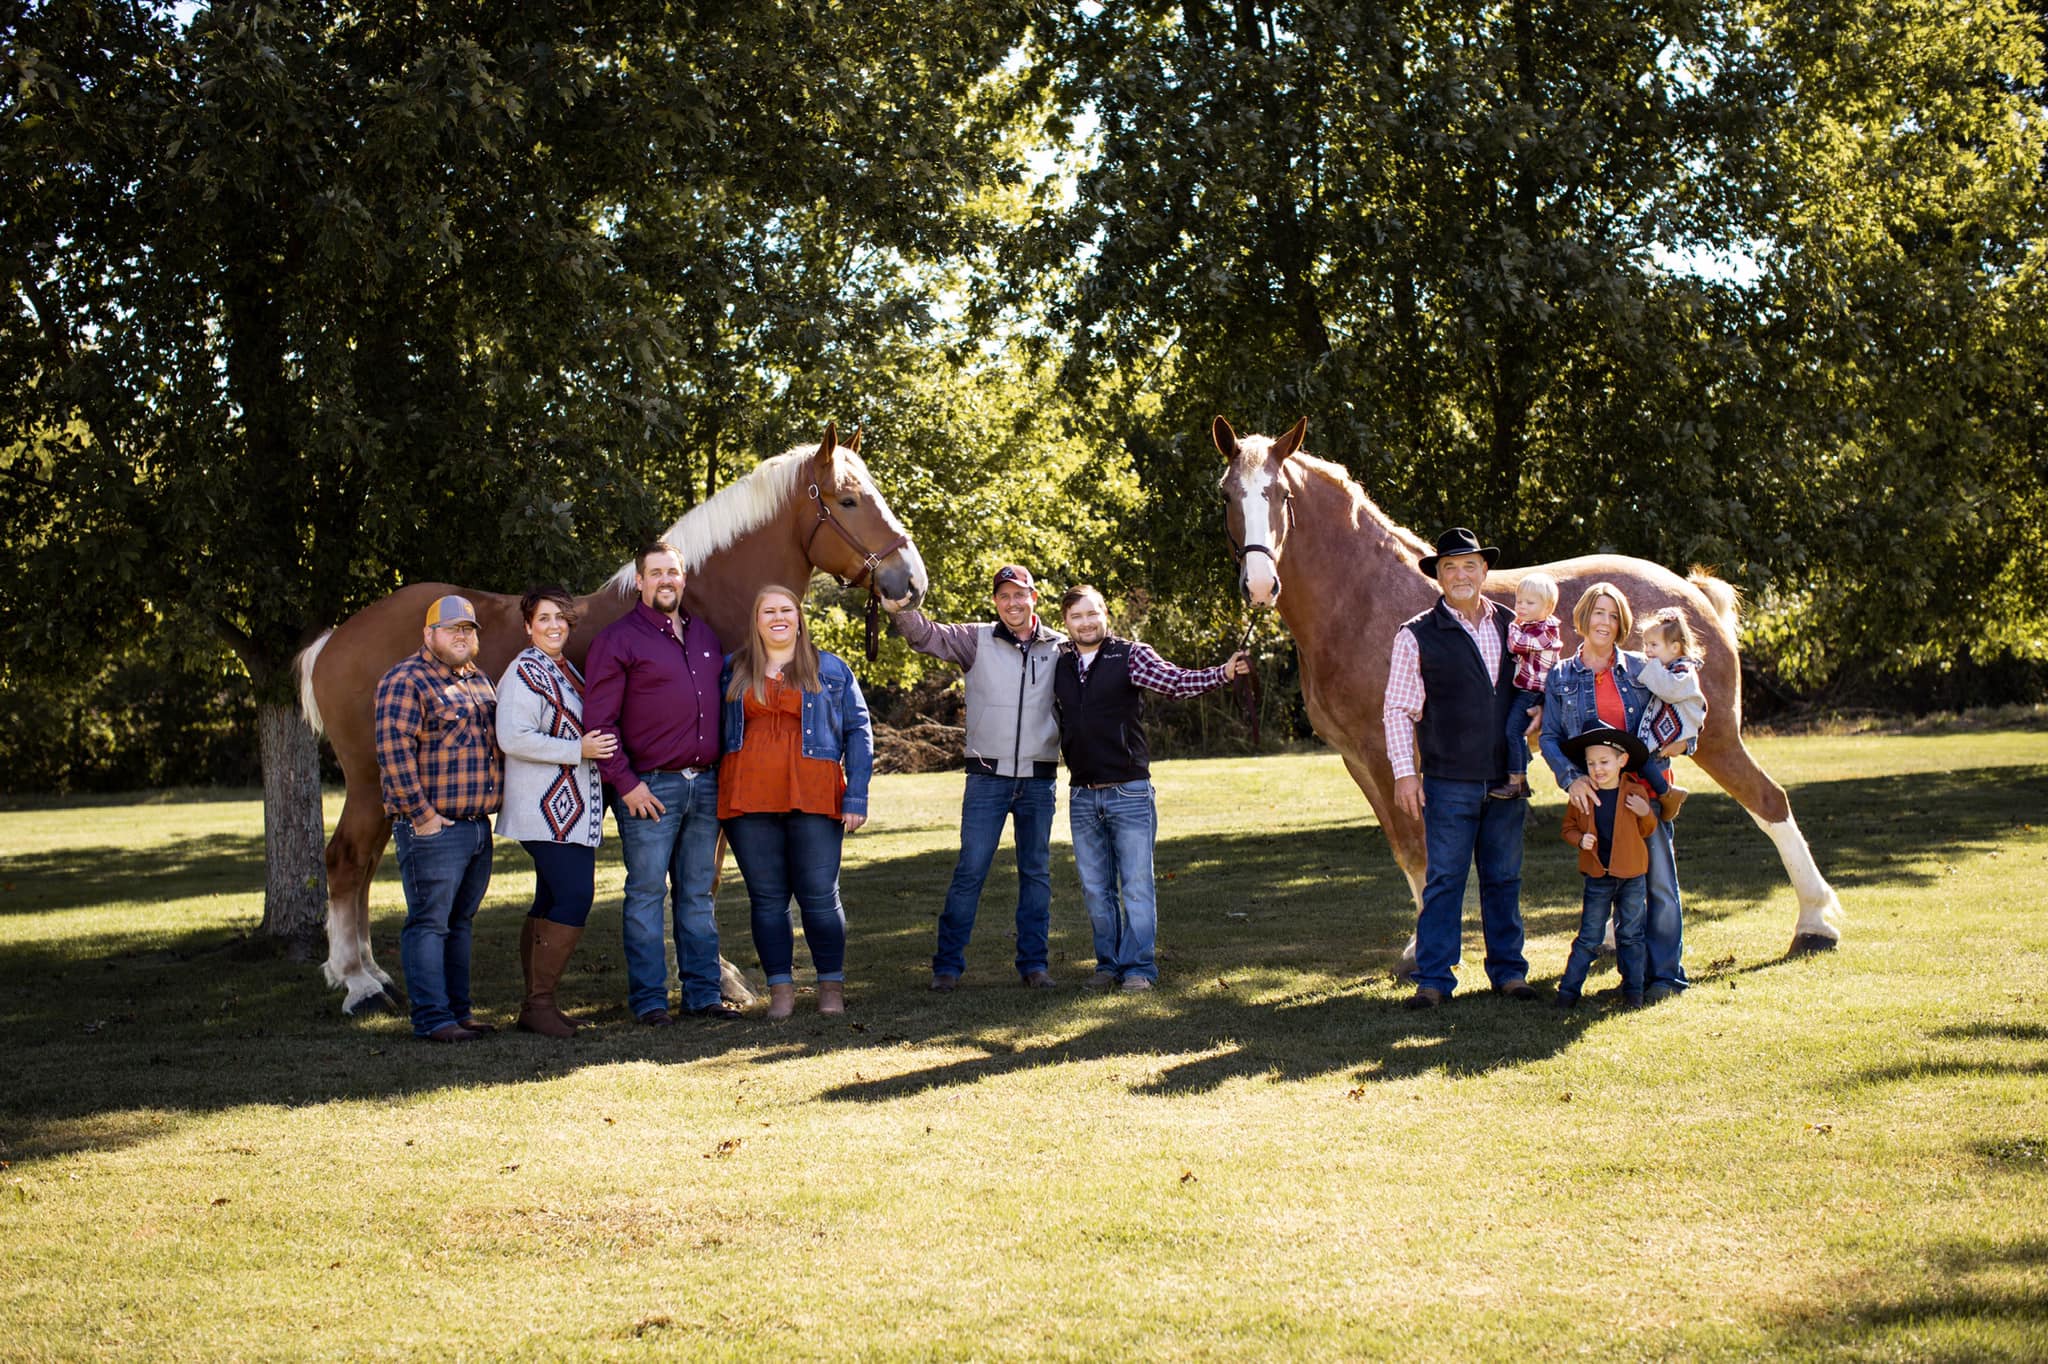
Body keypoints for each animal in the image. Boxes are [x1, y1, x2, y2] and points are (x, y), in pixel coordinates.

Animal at [294, 425, 929, 1007]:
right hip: (372, 779)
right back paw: (357, 982)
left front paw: (710, 973)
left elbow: (702, 877)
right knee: (346, 861)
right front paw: (695, 974)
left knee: (362, 865)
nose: (912, 582)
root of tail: (332, 641)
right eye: (848, 500)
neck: (694, 605)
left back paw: (370, 973)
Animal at [1204, 413, 1851, 954]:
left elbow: (1419, 847)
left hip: (1713, 736)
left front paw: (1426, 952)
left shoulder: (1391, 754)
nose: (1259, 584)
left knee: (1769, 802)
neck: (1364, 602)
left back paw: (1815, 924)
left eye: (1280, 495)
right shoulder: (1360, 760)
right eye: (1228, 494)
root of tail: (1690, 595)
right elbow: (1406, 851)